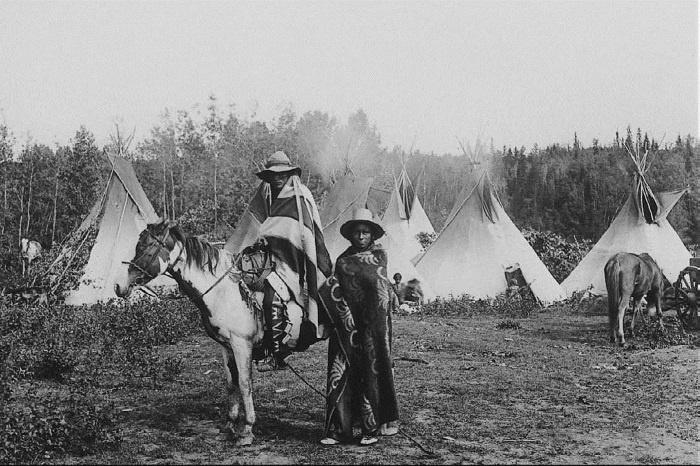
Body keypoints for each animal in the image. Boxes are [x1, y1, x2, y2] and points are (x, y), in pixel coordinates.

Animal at [116, 220, 264, 446]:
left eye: (146, 247)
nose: (119, 286)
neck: (225, 291)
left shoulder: (242, 344)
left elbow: (245, 384)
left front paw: (247, 430)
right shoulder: (227, 346)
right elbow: (231, 384)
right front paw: (229, 425)